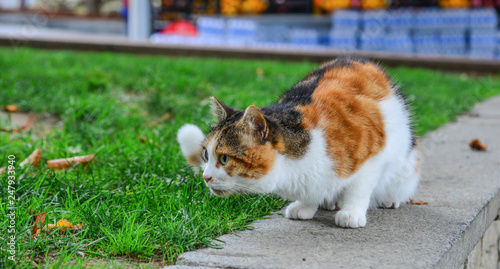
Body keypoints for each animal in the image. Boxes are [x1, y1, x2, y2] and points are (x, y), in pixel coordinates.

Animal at [178, 57, 420, 227]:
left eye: (225, 158)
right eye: (205, 155)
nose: (205, 176)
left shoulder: (373, 155)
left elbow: (358, 188)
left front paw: (351, 213)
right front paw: (307, 205)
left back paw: (387, 200)